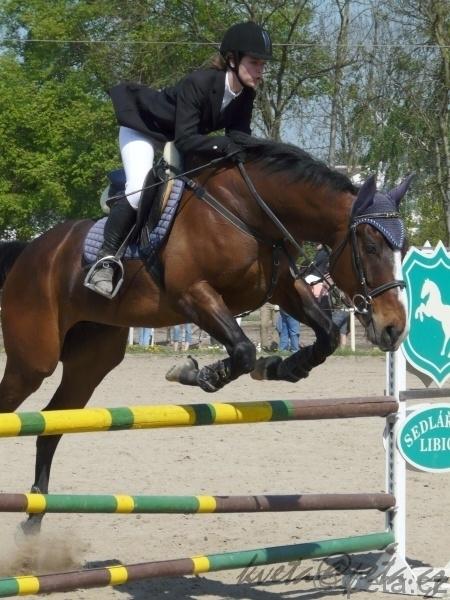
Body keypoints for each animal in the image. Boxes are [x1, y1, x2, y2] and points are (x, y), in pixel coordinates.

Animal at [0, 134, 412, 532]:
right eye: (371, 246)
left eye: (404, 248)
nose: (393, 328)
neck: (248, 212)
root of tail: (28, 252)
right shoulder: (194, 295)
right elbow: (243, 350)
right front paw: (200, 373)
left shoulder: (281, 288)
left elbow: (326, 335)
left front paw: (282, 367)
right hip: (33, 361)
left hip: (91, 362)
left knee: (52, 423)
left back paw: (35, 516)